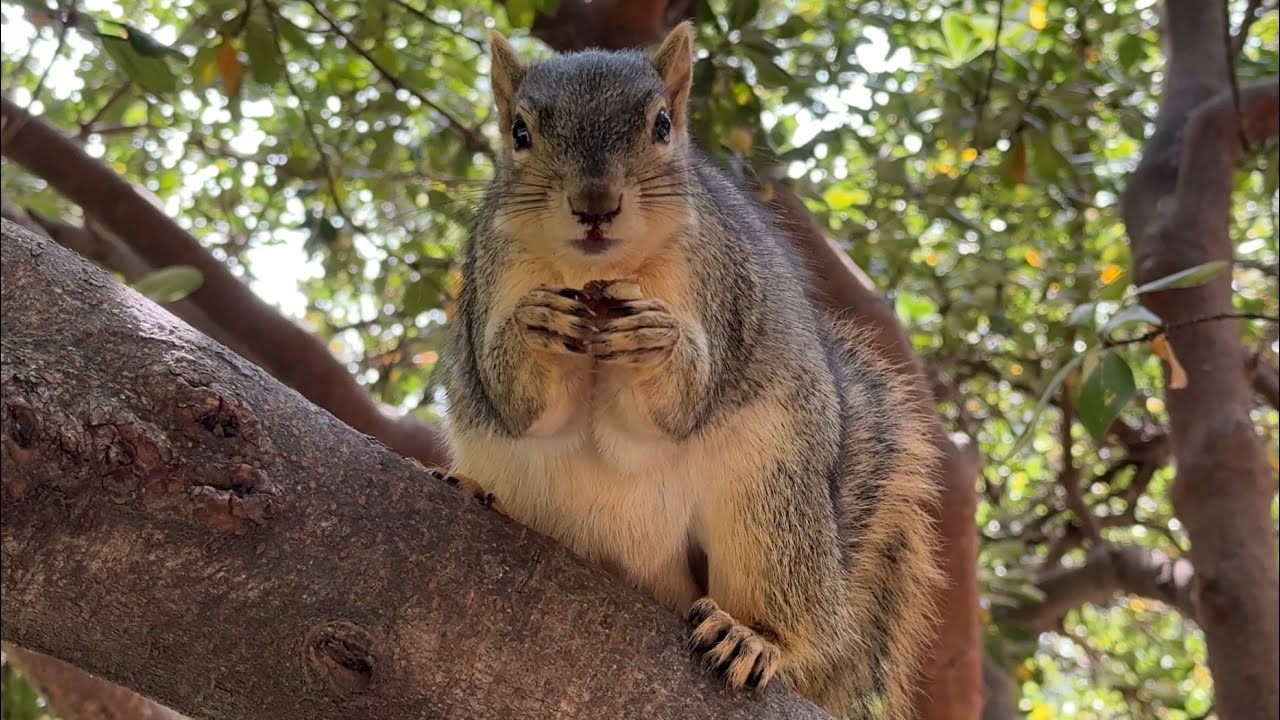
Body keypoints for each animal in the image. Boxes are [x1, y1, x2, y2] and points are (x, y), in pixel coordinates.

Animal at [436, 21, 943, 720]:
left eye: (660, 125)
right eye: (519, 132)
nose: (596, 203)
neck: (595, 275)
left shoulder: (713, 277)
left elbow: (675, 410)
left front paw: (660, 340)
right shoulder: (494, 269)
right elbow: (520, 406)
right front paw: (532, 327)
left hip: (769, 503)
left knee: (788, 600)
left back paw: (754, 636)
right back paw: (475, 489)